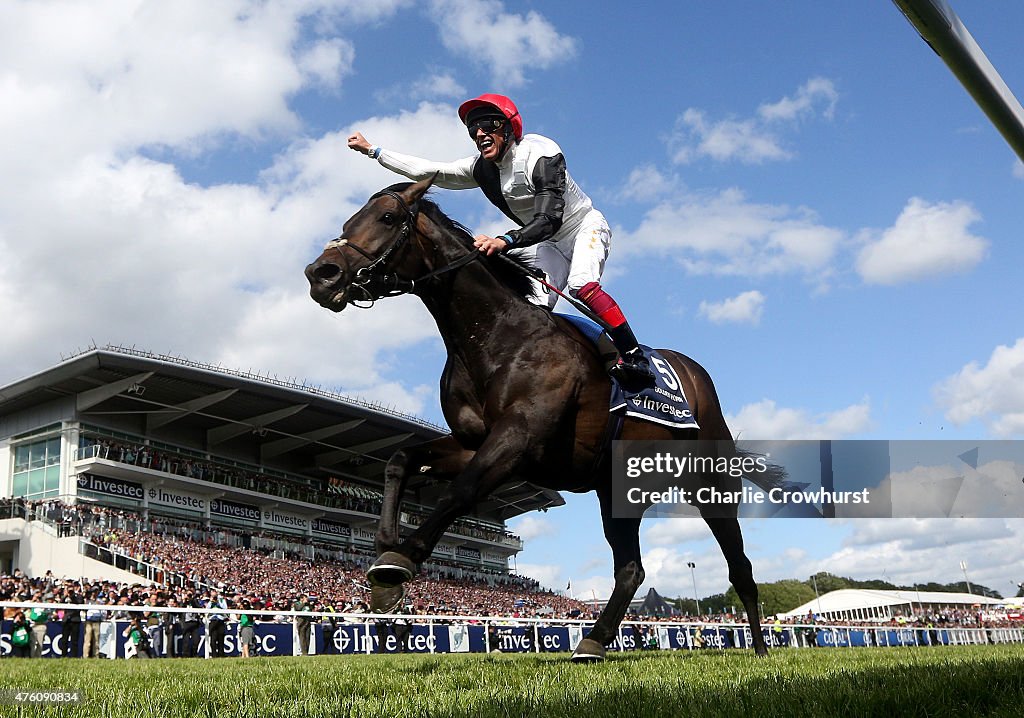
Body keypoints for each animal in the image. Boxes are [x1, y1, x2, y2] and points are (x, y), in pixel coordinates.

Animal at [303, 179, 770, 659]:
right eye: (348, 221)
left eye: (388, 218)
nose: (321, 274)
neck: (494, 335)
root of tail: (696, 376)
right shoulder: (473, 441)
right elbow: (399, 460)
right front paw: (384, 563)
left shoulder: (518, 439)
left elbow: (460, 491)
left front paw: (400, 559)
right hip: (616, 489)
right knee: (631, 569)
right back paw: (594, 640)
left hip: (711, 484)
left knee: (739, 566)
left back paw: (759, 649)